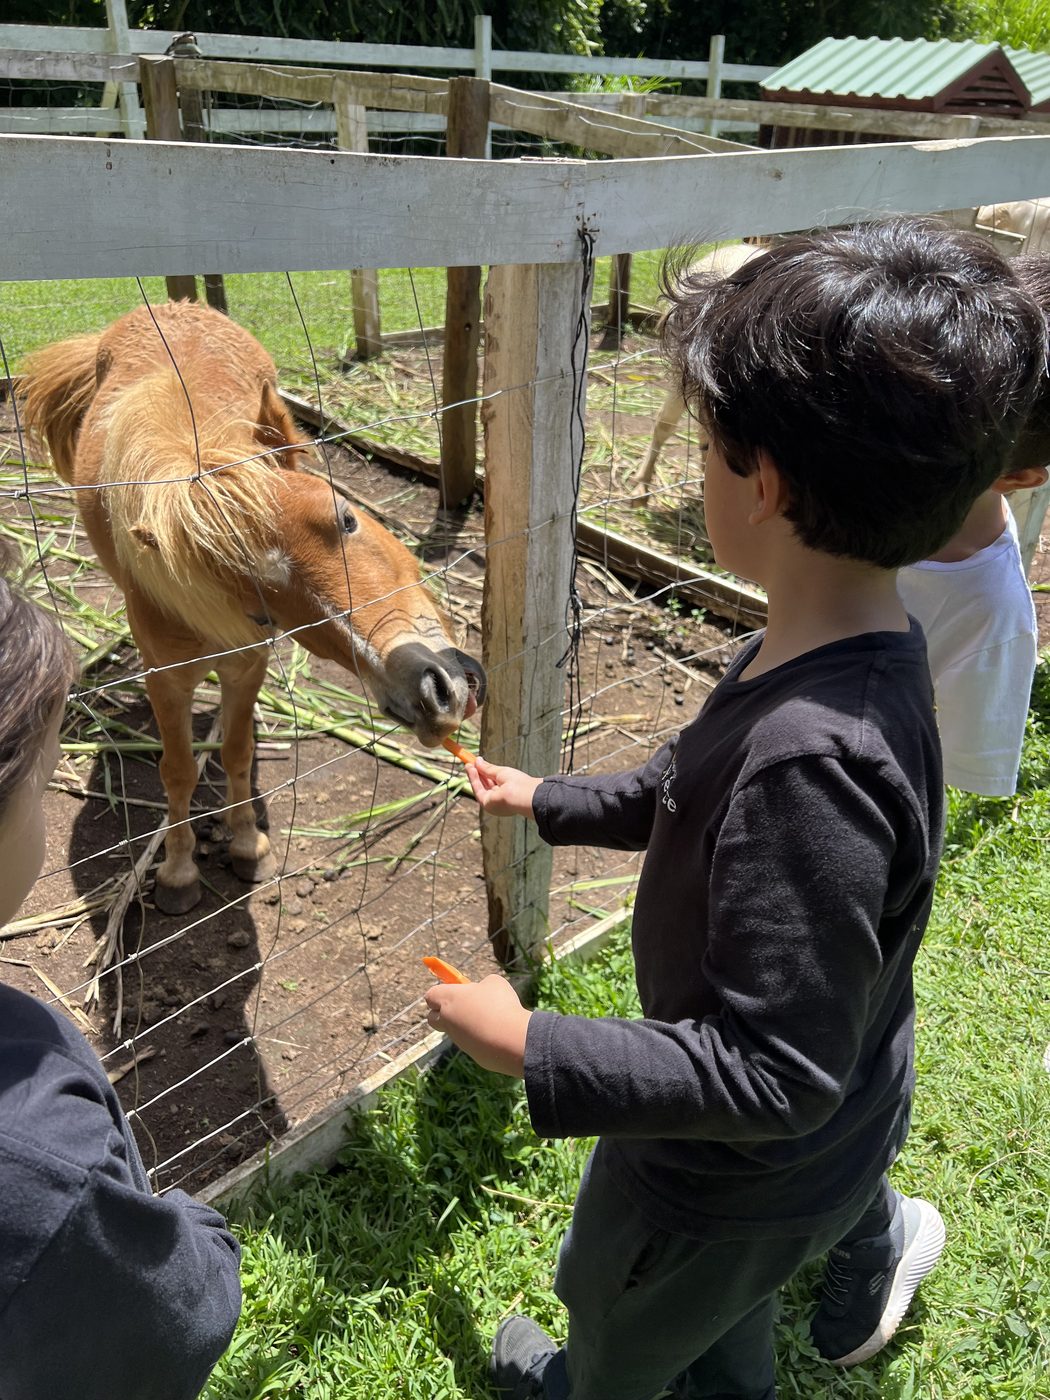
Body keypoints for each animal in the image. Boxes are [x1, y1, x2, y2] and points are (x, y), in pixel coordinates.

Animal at [21, 301, 486, 915]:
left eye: (347, 518)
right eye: (265, 608)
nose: (435, 693)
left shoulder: (247, 664)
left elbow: (237, 753)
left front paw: (247, 845)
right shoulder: (168, 678)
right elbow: (178, 771)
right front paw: (177, 873)